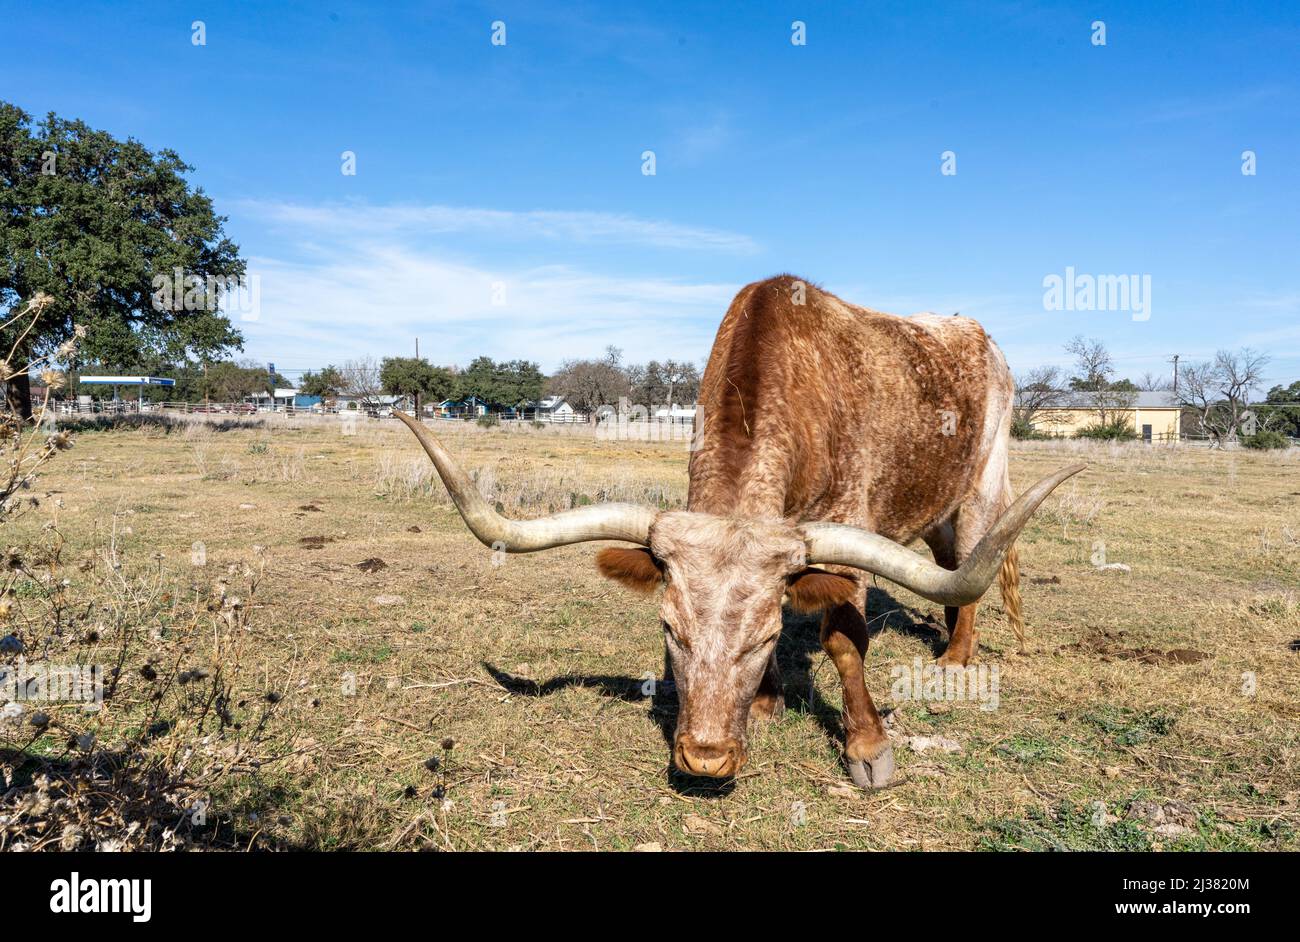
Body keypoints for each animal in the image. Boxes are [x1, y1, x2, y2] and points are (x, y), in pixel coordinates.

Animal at [390, 275, 1081, 789]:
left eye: (767, 635)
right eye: (669, 628)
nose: (706, 757)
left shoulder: (849, 527)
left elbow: (844, 641)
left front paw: (868, 747)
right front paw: (768, 701)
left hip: (984, 482)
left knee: (971, 558)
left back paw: (958, 655)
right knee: (949, 565)